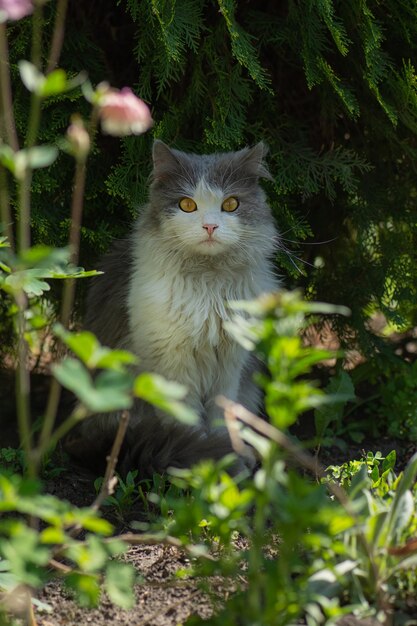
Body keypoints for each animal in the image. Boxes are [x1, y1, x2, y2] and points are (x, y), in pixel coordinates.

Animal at [68, 140, 280, 472]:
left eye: (231, 204)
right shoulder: (173, 362)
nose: (210, 226)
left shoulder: (230, 364)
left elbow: (222, 417)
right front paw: (206, 465)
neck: (208, 284)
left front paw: (227, 455)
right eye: (187, 205)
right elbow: (187, 422)